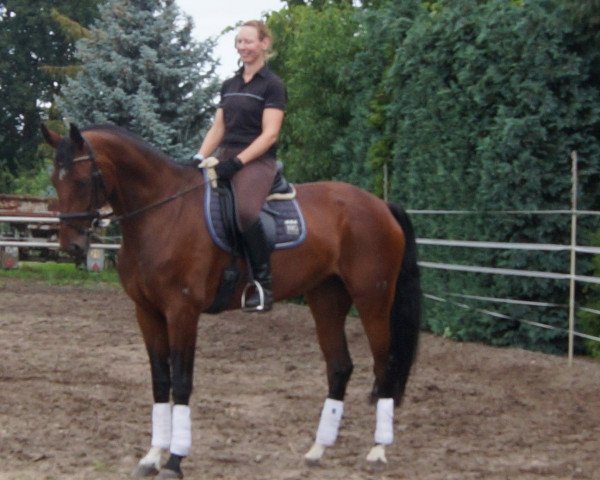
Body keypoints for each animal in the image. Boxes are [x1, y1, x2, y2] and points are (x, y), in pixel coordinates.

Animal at [41, 124, 422, 480]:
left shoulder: (182, 312)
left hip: (372, 300)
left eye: (82, 179)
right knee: (340, 367)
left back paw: (377, 451)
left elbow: (181, 382)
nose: (71, 245)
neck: (163, 214)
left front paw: (175, 460)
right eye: (54, 180)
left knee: (384, 365)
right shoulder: (147, 313)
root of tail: (379, 205)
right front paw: (152, 456)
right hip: (326, 298)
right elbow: (160, 382)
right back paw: (318, 449)